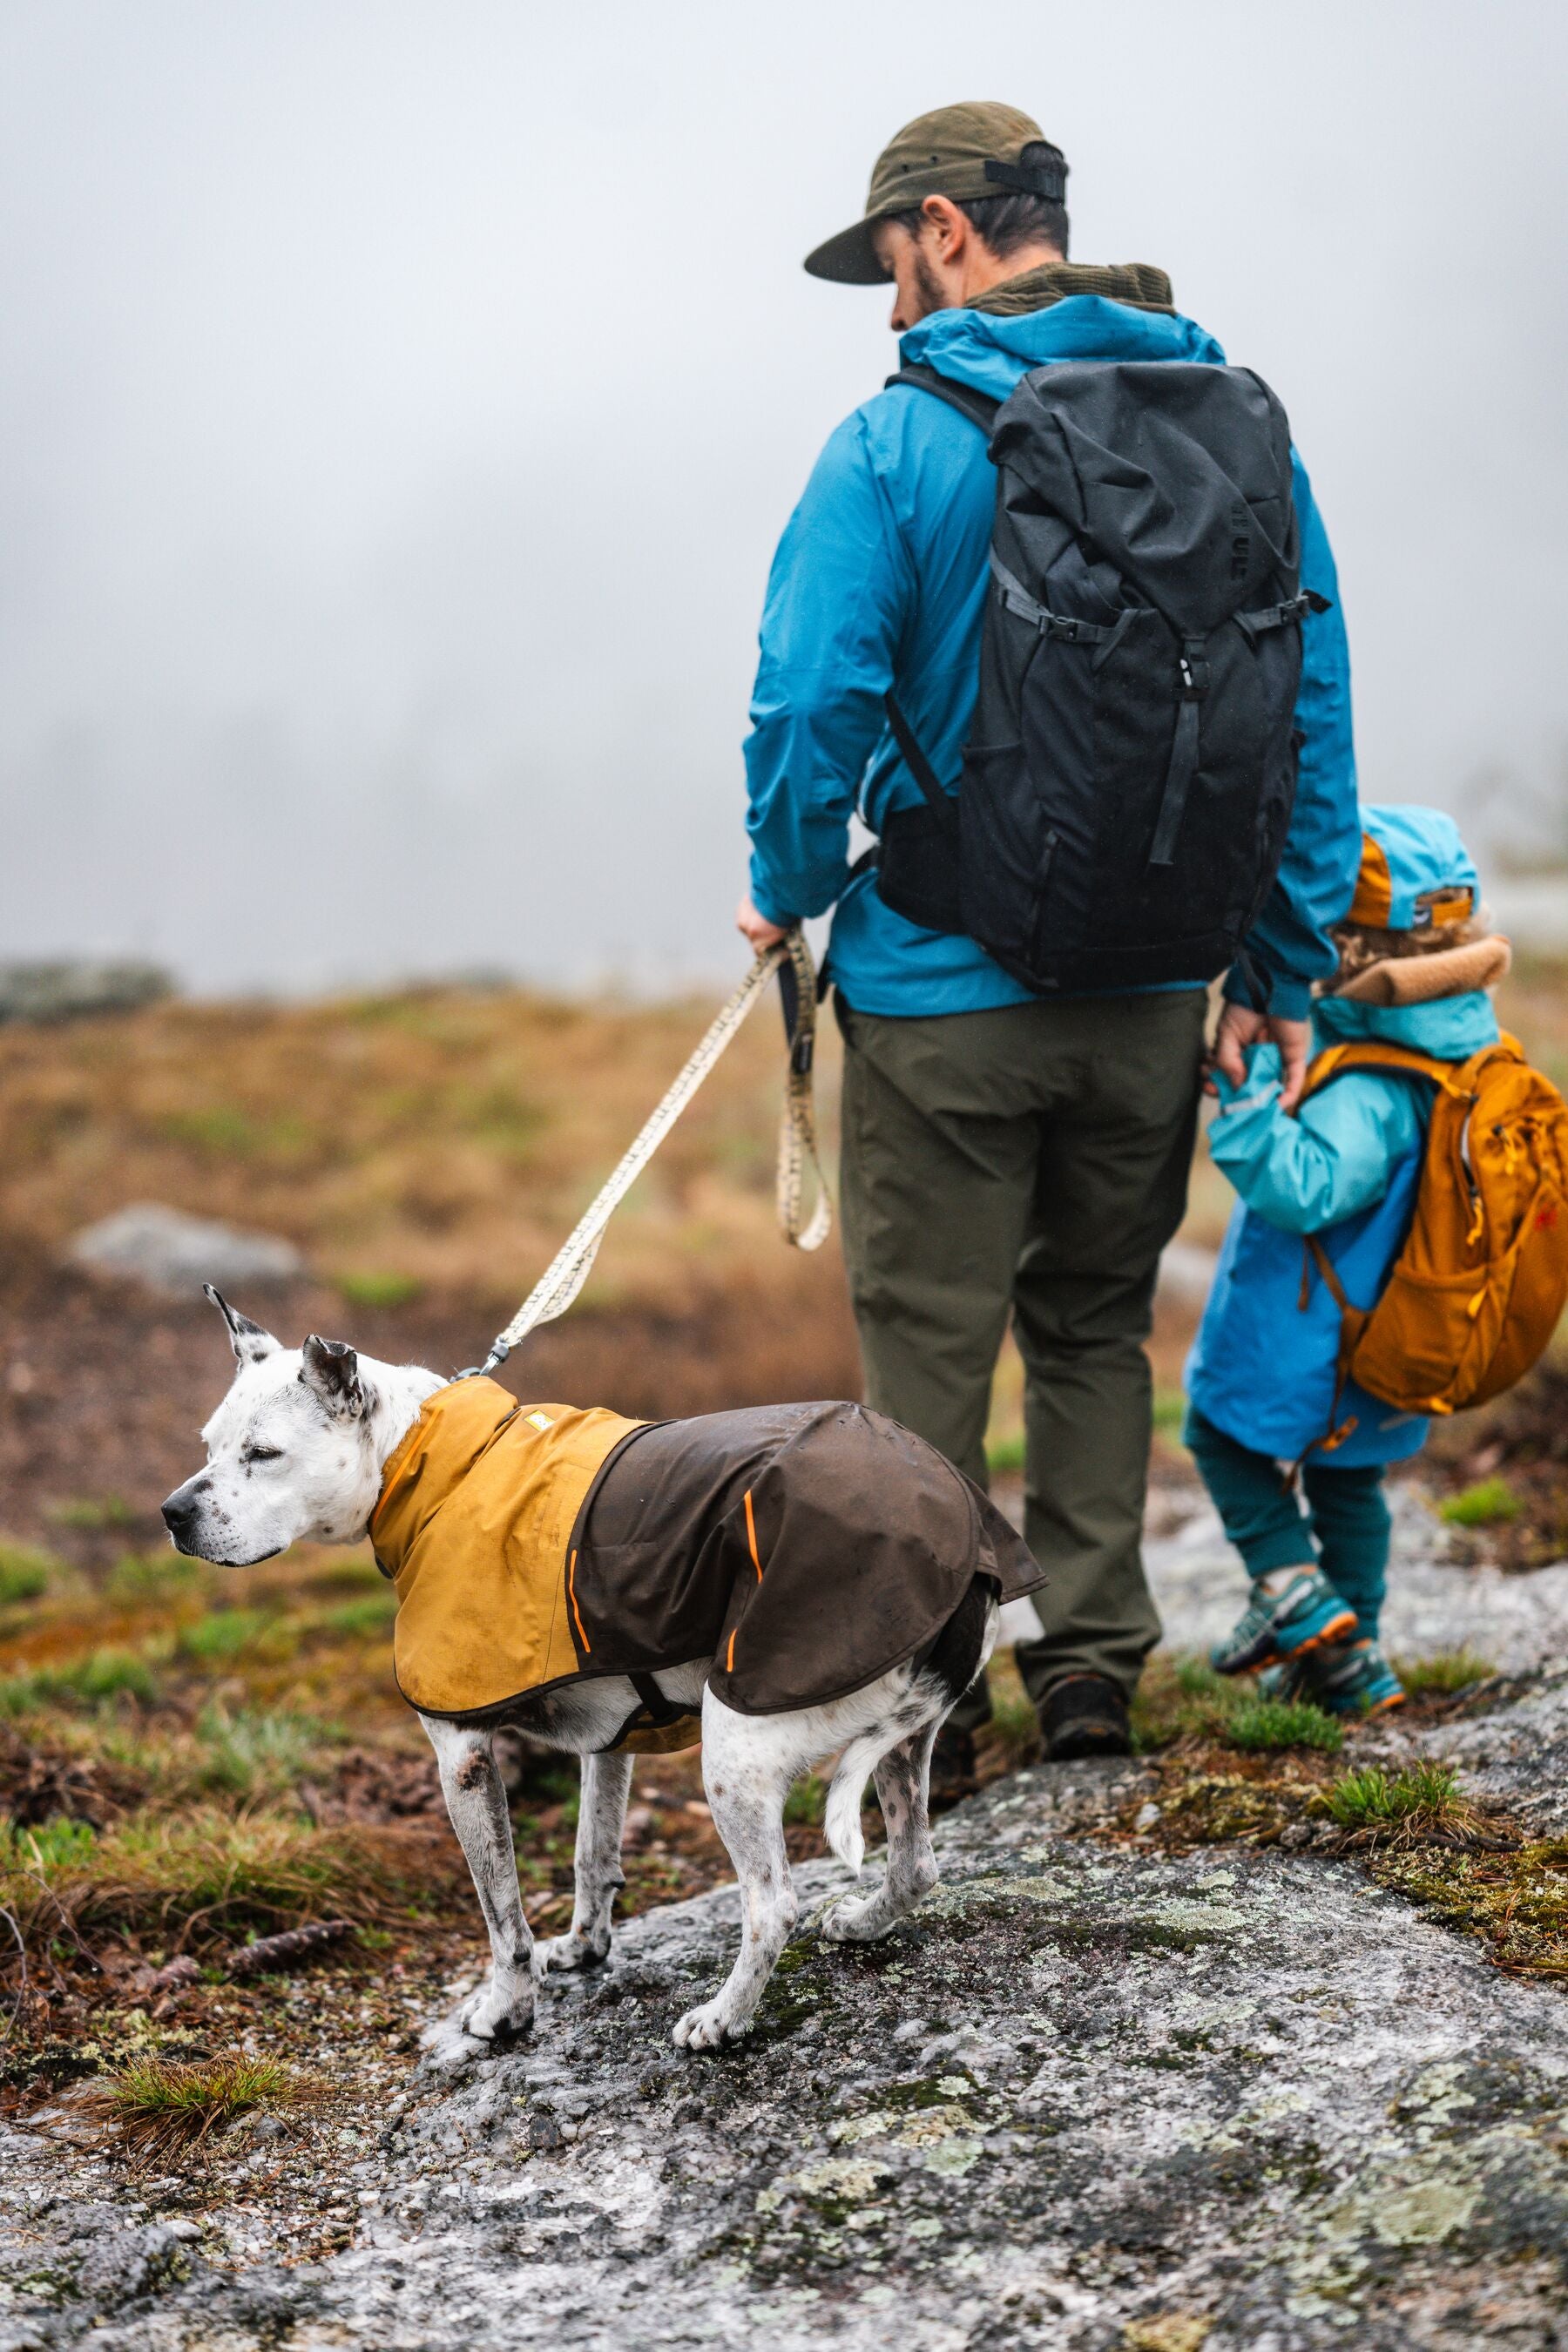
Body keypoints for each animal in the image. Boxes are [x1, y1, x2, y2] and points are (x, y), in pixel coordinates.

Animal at [159, 1298, 1030, 2051]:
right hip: (897, 1748)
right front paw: (583, 1949)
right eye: (207, 1445)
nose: (172, 1514)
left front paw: (507, 2013)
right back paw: (862, 1922)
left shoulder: (463, 1758)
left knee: (772, 1904)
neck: (433, 1466)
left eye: (263, 1454)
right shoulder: (610, 1739)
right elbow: (591, 1852)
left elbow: (502, 1920)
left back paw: (724, 2019)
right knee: (916, 1864)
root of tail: (961, 1535)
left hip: (740, 1748)